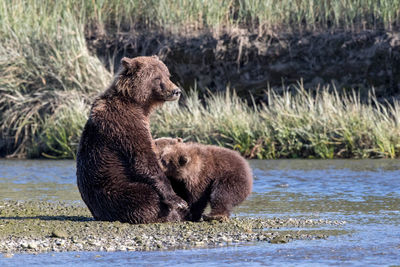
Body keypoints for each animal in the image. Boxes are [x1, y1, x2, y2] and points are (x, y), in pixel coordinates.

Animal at [77, 57, 188, 226]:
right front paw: (178, 201)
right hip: (114, 189)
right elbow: (143, 160)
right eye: (157, 78)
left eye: (168, 75)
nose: (176, 91)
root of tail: (97, 214)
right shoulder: (125, 124)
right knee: (146, 197)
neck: (137, 103)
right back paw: (170, 214)